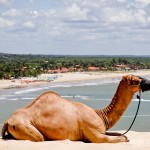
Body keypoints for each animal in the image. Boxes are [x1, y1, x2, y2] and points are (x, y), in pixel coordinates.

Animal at [0, 74, 149, 142]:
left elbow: (120, 134)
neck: (100, 115)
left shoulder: (102, 130)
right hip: (24, 125)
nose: (148, 83)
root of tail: (7, 121)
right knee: (39, 138)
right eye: (135, 81)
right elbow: (122, 138)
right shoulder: (94, 134)